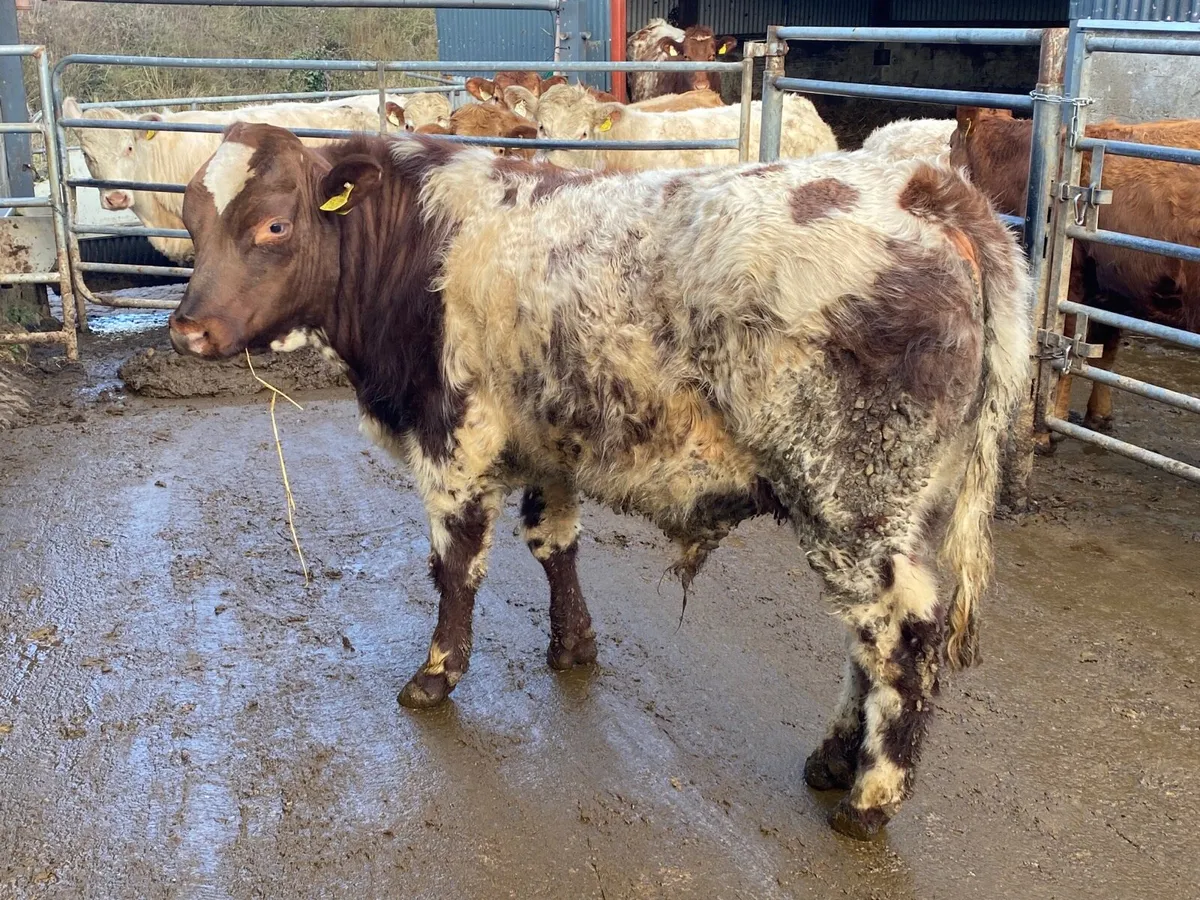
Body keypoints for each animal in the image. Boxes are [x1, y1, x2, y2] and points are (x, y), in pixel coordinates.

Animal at [167, 122, 1031, 840]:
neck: (417, 244)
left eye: (273, 225)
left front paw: (437, 674)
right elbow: (554, 544)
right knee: (867, 636)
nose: (188, 329)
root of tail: (921, 190)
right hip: (887, 510)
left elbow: (455, 567)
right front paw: (573, 646)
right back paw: (832, 759)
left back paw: (870, 797)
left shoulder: (454, 441)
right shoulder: (551, 442)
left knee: (902, 634)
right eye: (191, 223)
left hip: (853, 495)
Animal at [951, 106, 1200, 433]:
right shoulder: (1110, 290)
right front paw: (1100, 415)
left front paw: (1051, 420)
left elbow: (1066, 347)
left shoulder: (1074, 281)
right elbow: (1106, 352)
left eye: (949, 144)